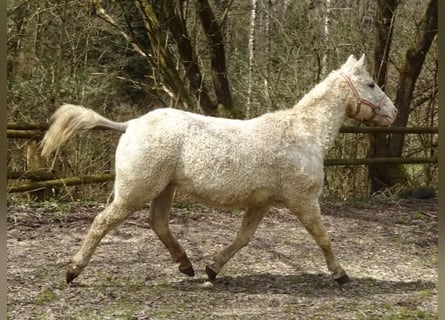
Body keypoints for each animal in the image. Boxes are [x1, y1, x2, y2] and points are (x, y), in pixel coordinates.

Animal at [40, 53, 396, 284]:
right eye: (371, 84)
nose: (392, 113)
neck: (304, 133)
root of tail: (129, 124)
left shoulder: (261, 203)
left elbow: (243, 238)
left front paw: (212, 269)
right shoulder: (304, 201)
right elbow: (323, 237)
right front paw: (341, 274)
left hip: (164, 190)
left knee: (159, 223)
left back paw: (187, 266)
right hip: (135, 192)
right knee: (102, 222)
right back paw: (73, 271)